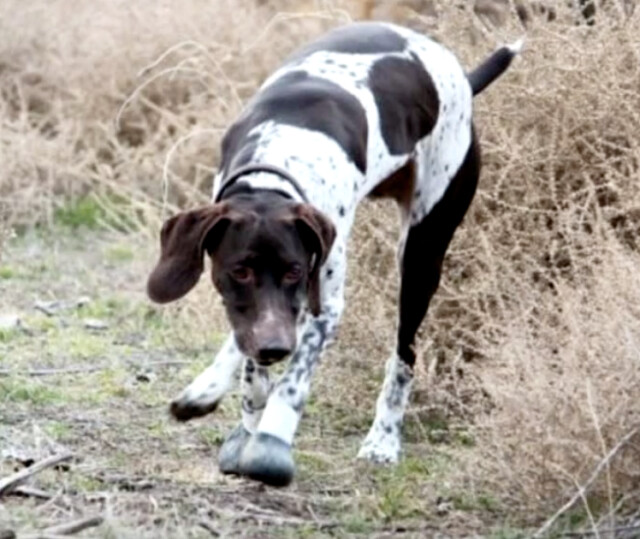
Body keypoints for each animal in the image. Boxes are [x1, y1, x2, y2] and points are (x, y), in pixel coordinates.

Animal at [148, 21, 524, 488]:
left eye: (294, 271)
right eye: (240, 271)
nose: (275, 347)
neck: (275, 166)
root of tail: (459, 74)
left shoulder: (321, 304)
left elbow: (292, 382)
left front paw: (270, 436)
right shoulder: (255, 306)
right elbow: (249, 351)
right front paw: (225, 398)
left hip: (422, 252)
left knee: (405, 354)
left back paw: (383, 440)